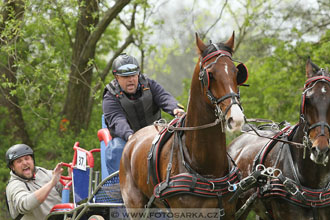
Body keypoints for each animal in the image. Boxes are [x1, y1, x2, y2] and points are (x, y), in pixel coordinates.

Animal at [118, 31, 248, 219]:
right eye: (210, 75)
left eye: (236, 72)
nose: (236, 118)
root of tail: (133, 139)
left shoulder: (229, 212)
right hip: (135, 206)